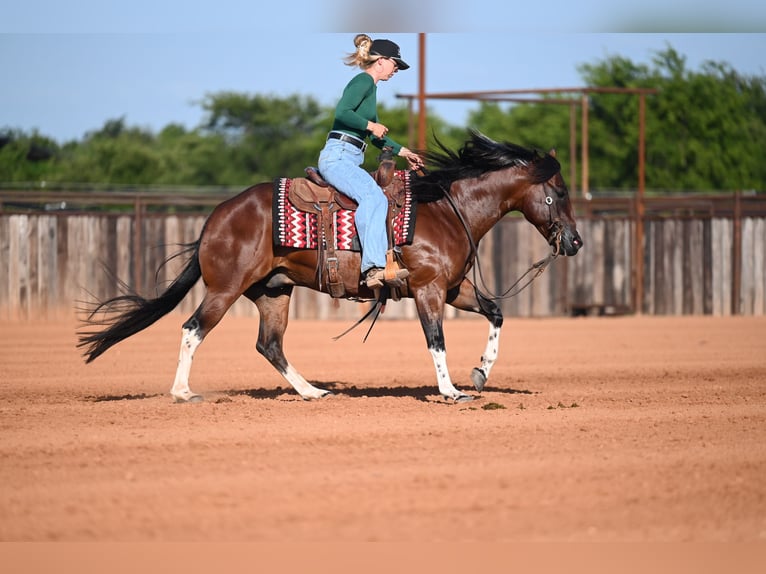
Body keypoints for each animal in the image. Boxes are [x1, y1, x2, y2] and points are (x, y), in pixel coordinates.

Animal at [77, 130, 583, 403]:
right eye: (558, 192)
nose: (575, 242)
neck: (444, 209)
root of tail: (216, 217)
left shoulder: (455, 288)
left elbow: (496, 312)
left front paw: (479, 374)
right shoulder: (428, 289)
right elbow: (436, 340)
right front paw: (450, 391)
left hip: (273, 291)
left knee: (270, 345)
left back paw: (312, 391)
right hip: (226, 289)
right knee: (193, 328)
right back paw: (183, 392)